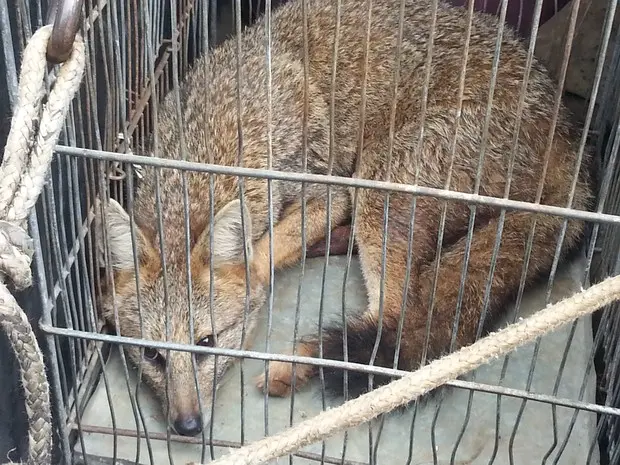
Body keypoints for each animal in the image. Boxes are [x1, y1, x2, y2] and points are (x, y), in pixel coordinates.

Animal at [93, 0, 592, 438]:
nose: (188, 427)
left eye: (206, 345)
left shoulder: (330, 190)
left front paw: (256, 272)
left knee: (393, 319)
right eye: (152, 357)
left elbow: (267, 250)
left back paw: (302, 362)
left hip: (379, 178)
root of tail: (571, 139)